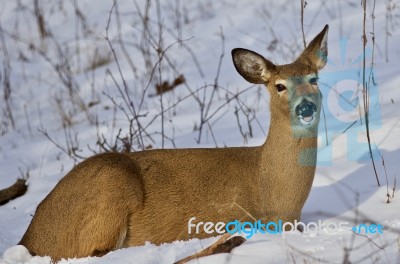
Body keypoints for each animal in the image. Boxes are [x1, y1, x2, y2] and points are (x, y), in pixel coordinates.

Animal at [18, 24, 328, 260]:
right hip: (110, 186)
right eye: (279, 86)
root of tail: (30, 238)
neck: (272, 191)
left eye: (314, 79)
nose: (306, 107)